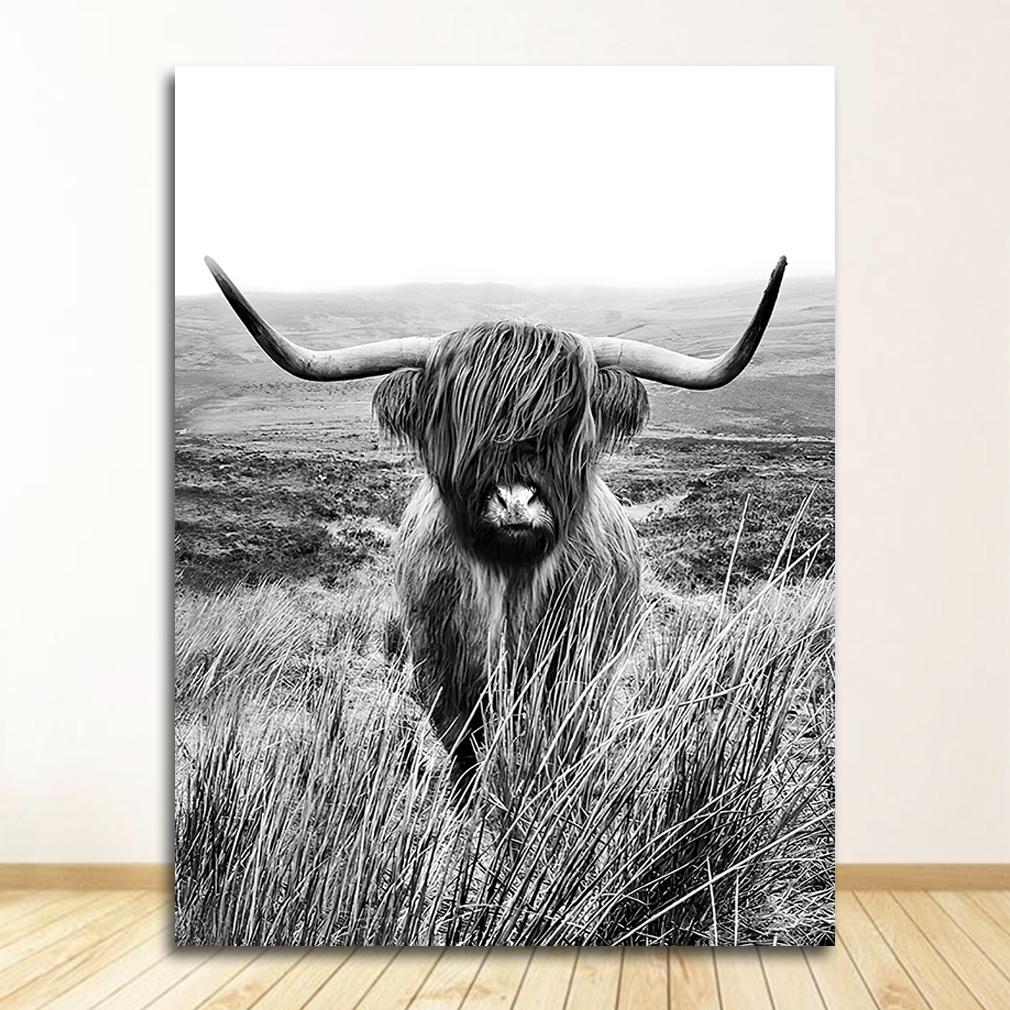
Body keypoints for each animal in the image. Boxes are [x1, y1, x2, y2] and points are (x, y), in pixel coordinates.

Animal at [204, 255, 786, 789]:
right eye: (463, 424)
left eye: (568, 427)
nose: (514, 500)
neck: (510, 578)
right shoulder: (441, 673)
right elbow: (462, 751)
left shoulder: (580, 676)